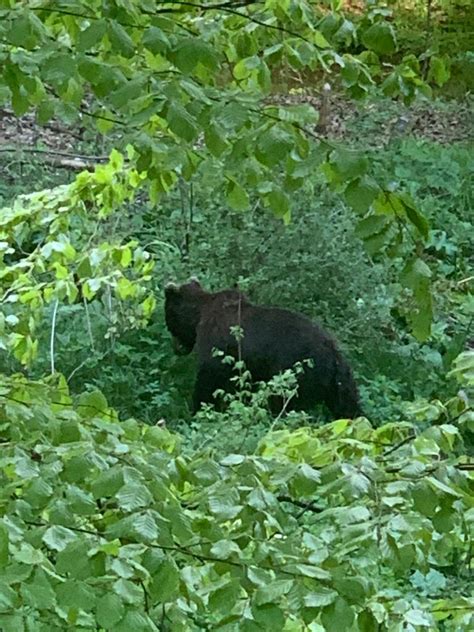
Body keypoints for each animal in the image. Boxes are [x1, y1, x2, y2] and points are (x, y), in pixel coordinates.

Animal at [165, 278, 362, 418]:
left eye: (169, 319)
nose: (176, 348)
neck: (198, 316)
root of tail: (332, 353)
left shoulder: (219, 347)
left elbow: (208, 381)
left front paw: (198, 410)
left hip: (294, 373)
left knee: (283, 403)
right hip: (339, 381)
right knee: (348, 408)